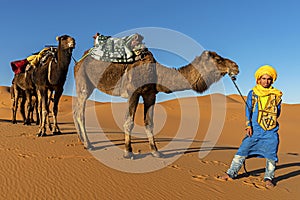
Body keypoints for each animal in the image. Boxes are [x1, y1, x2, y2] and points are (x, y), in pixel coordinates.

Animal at [74, 48, 240, 158]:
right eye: (218, 59)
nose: (236, 66)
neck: (157, 73)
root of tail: (79, 61)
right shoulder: (134, 91)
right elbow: (129, 122)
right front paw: (128, 152)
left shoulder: (150, 94)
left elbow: (149, 123)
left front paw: (156, 151)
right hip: (83, 80)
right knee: (80, 112)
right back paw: (89, 144)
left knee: (76, 111)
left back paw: (82, 141)